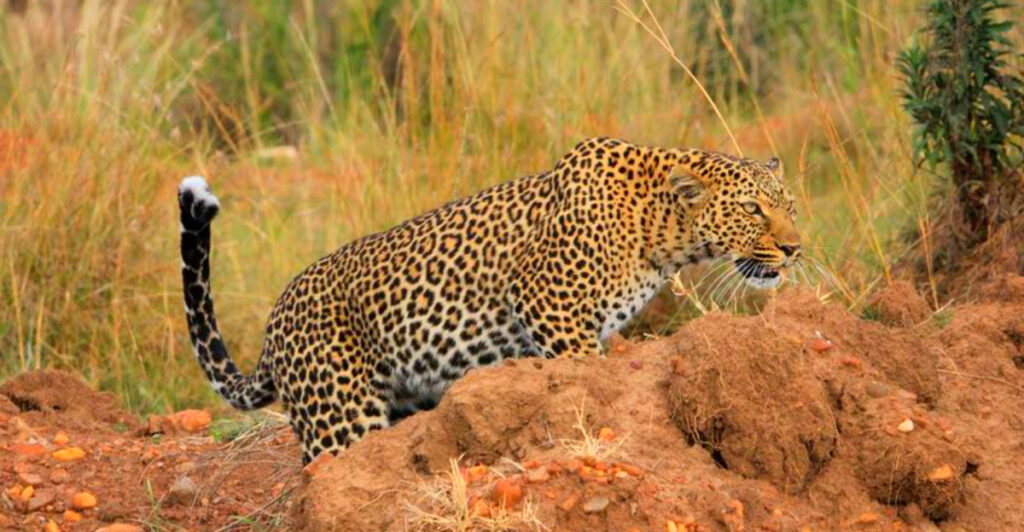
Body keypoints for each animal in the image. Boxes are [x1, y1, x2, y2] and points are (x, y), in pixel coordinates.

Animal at [177, 137, 801, 463]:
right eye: (752, 210)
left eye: (790, 204)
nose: (795, 248)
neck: (663, 229)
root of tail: (273, 327)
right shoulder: (551, 306)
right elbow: (583, 371)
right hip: (339, 417)